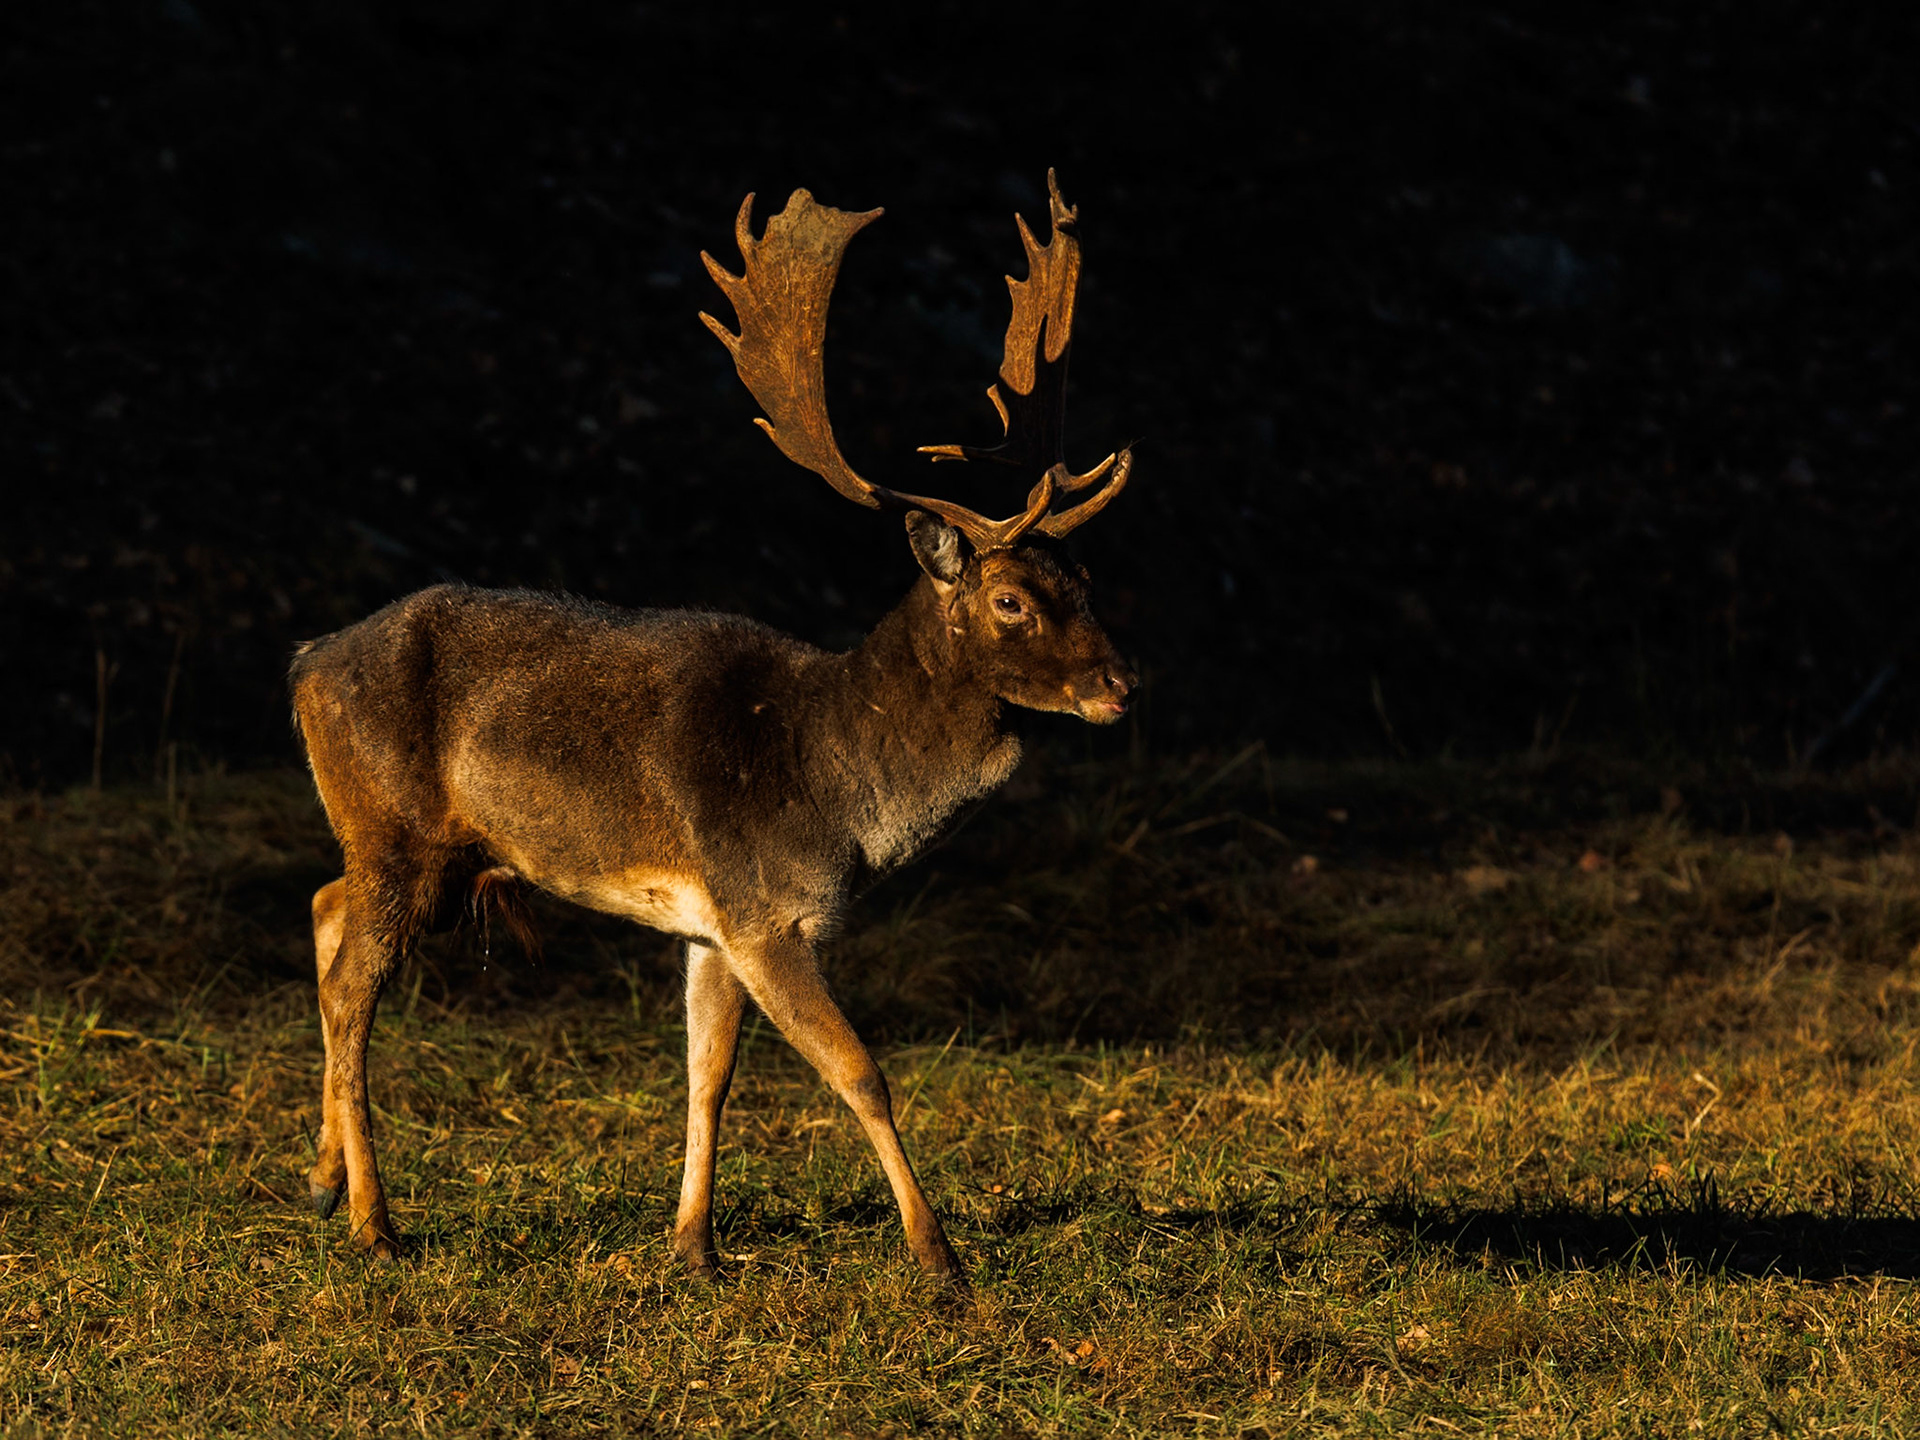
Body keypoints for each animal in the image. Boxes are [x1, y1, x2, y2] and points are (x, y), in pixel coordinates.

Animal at [289, 170, 1135, 1286]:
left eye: (1085, 577)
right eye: (1010, 602)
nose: (1120, 684)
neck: (835, 781)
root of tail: (305, 664)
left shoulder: (713, 920)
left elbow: (708, 1072)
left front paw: (692, 1242)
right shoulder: (768, 908)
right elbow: (860, 1072)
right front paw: (939, 1258)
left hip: (406, 845)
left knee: (321, 905)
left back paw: (321, 1179)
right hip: (397, 830)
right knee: (352, 989)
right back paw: (374, 1223)